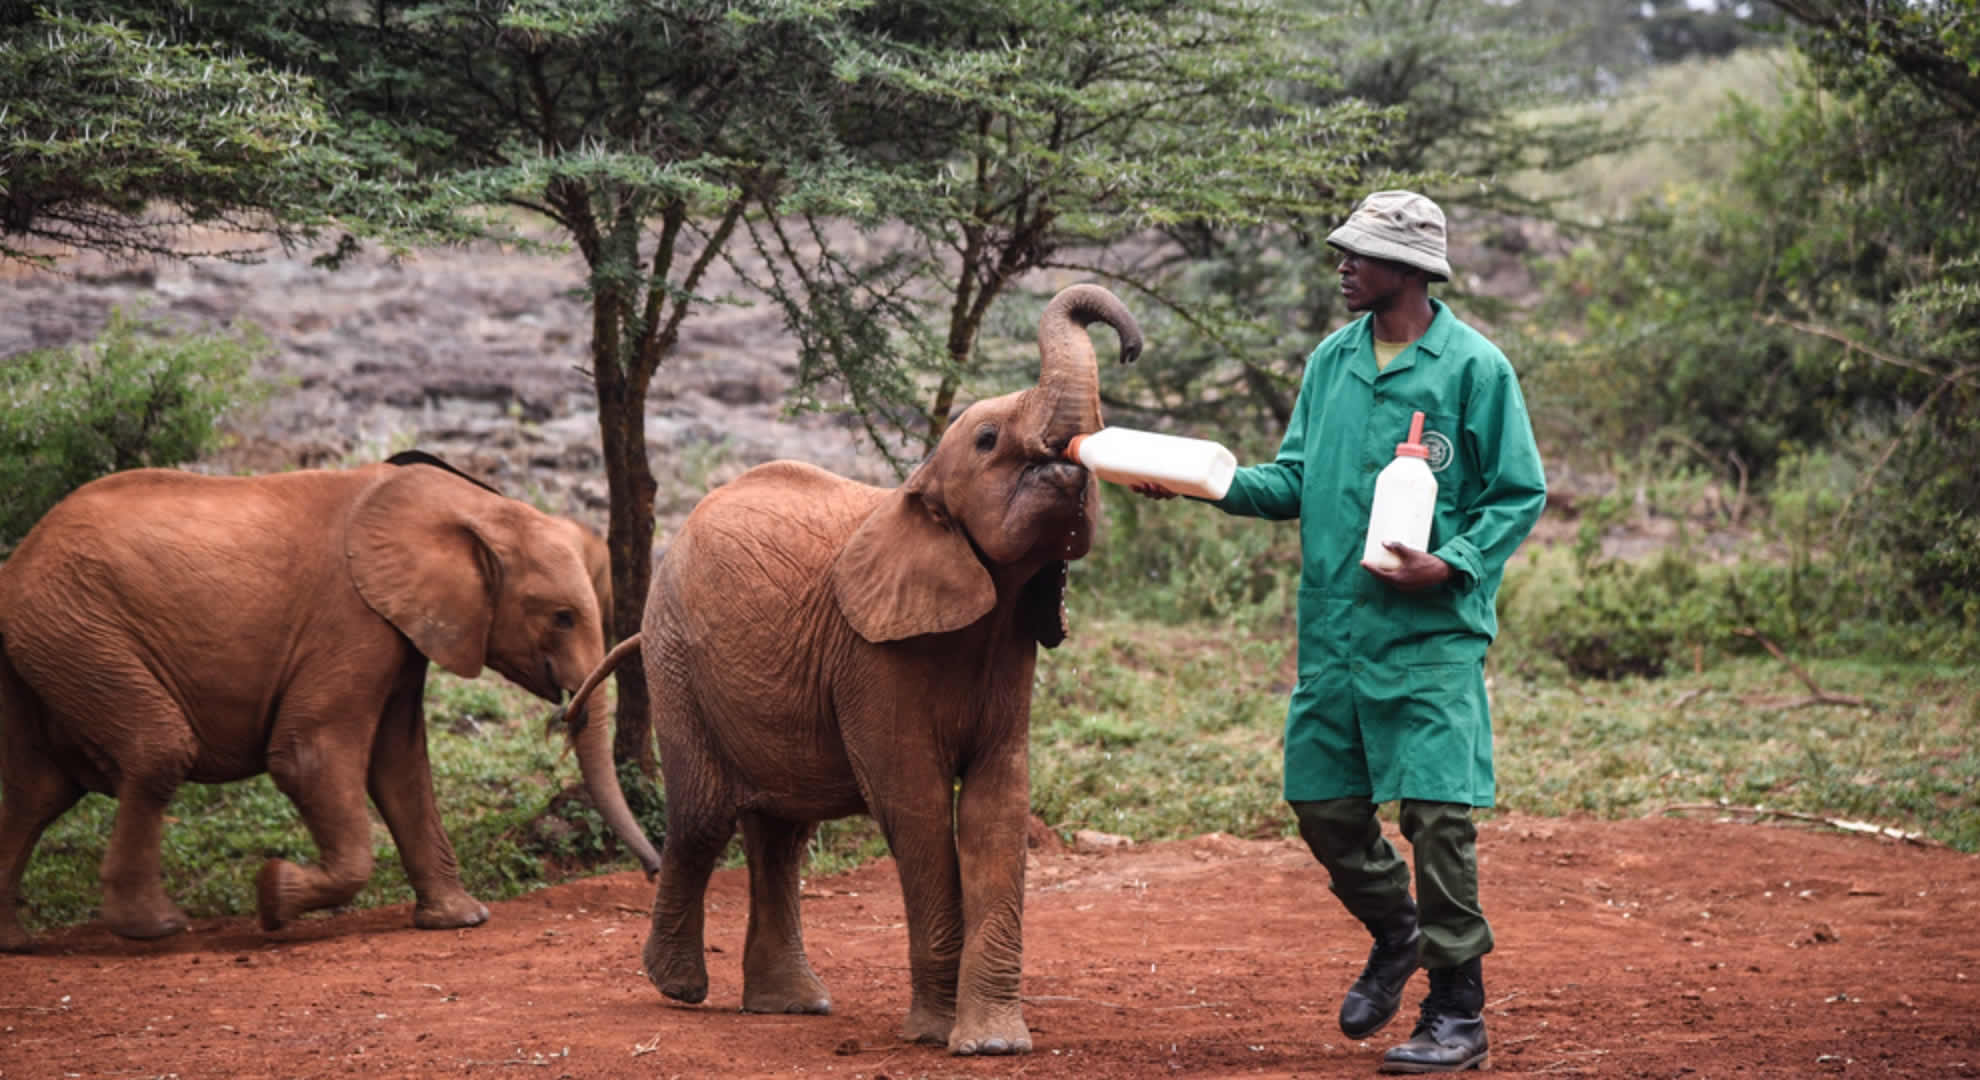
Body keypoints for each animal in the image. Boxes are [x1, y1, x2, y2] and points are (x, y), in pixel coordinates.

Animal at [0, 459, 665, 947]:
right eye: (562, 617)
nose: (654, 871)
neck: (468, 505)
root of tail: (21, 559)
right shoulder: (351, 620)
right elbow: (309, 756)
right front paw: (272, 896)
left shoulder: (402, 632)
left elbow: (400, 766)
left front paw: (460, 920)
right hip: (76, 626)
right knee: (155, 750)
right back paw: (155, 929)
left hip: (51, 640)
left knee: (36, 789)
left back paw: (16, 942)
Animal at [558, 279, 1148, 1054]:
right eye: (988, 440)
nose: (1134, 346)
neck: (918, 486)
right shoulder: (873, 658)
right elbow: (916, 805)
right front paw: (936, 1036)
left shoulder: (1010, 644)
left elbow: (997, 806)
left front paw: (994, 1043)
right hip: (675, 659)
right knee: (702, 818)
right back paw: (679, 987)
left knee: (780, 833)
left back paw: (790, 1005)